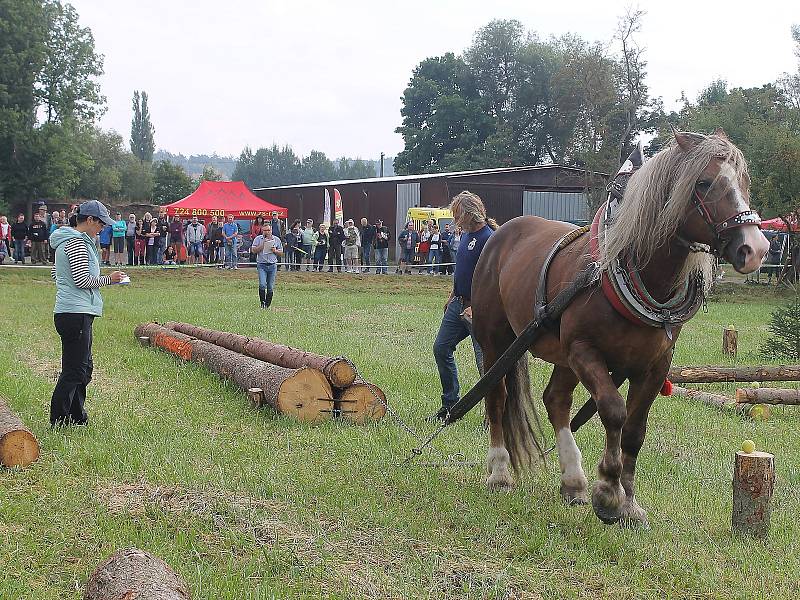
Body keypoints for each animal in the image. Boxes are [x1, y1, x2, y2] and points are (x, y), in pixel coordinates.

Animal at [472, 131, 772, 524]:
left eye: (745, 182)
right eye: (704, 183)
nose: (755, 248)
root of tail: (500, 232)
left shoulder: (654, 366)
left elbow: (634, 429)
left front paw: (628, 503)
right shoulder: (584, 350)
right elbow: (613, 411)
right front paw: (608, 493)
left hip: (561, 355)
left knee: (556, 400)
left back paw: (573, 482)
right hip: (498, 341)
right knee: (496, 396)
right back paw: (500, 473)